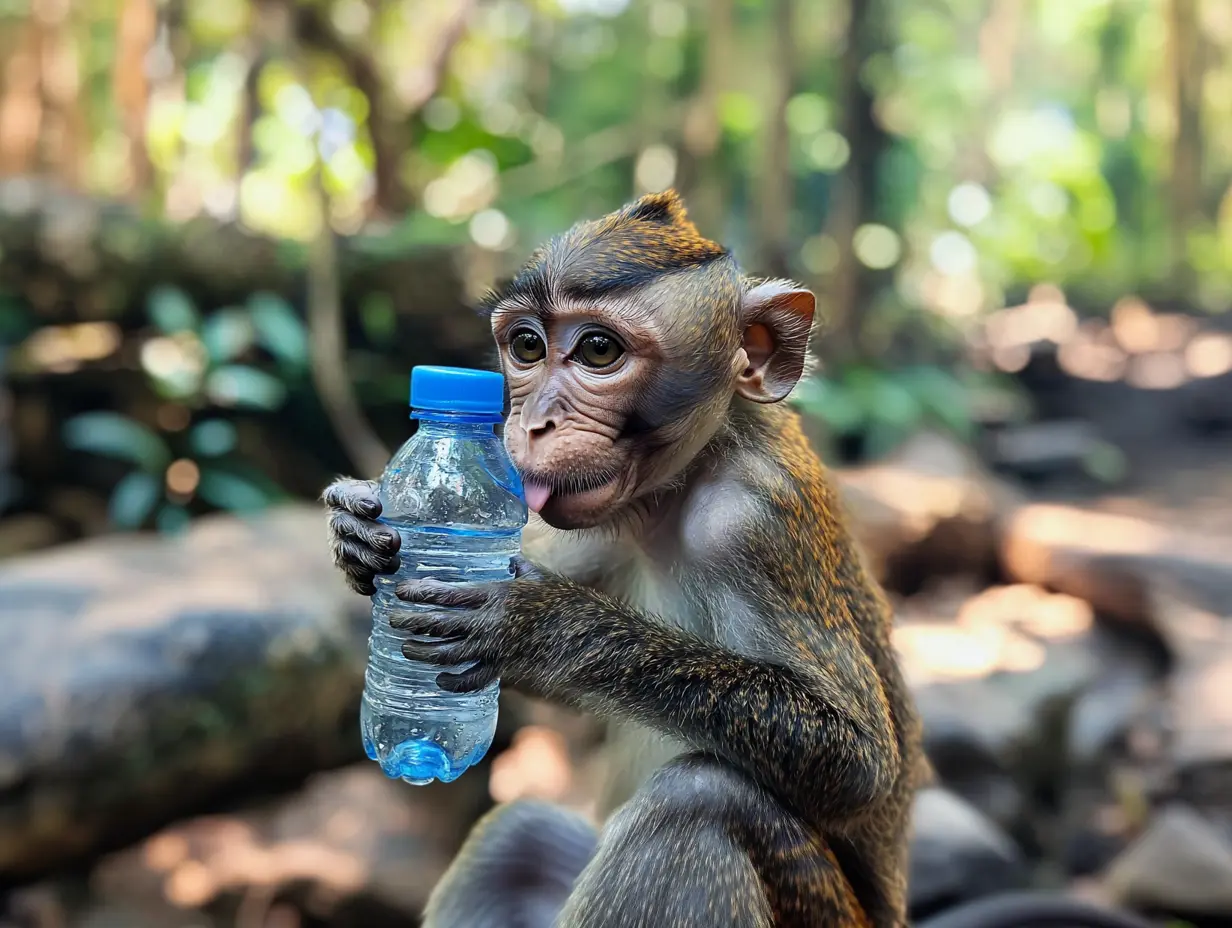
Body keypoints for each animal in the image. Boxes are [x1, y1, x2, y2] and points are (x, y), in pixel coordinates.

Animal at [324, 191, 1161, 928]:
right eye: (526, 345)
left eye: (597, 350)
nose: (530, 425)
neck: (683, 485)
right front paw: (359, 536)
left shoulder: (755, 525)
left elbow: (859, 761)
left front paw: (540, 624)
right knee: (519, 841)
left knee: (697, 802)